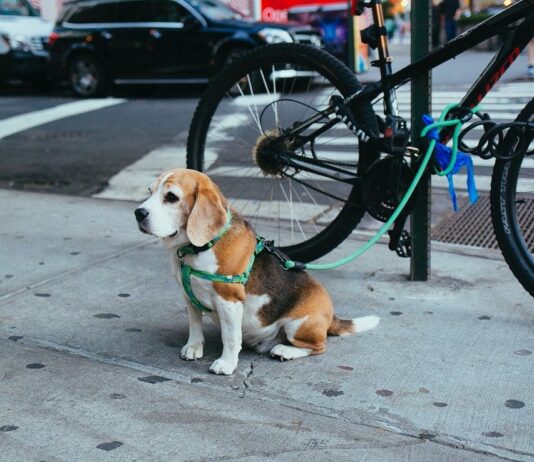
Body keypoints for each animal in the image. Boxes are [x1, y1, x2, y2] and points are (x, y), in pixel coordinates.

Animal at [137, 170, 382, 376]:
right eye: (149, 191)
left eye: (171, 197)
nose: (138, 213)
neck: (197, 249)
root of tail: (331, 316)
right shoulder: (189, 296)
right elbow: (195, 325)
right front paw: (194, 347)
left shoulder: (229, 301)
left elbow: (230, 337)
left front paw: (226, 363)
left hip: (298, 325)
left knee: (318, 347)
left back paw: (286, 351)